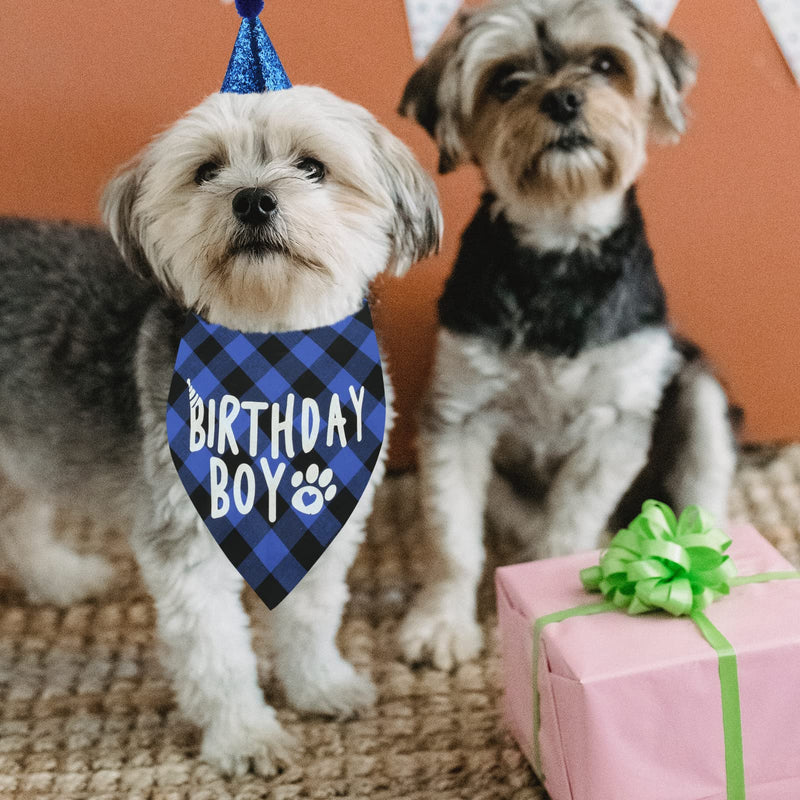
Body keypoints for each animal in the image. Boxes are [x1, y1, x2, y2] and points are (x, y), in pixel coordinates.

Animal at [0, 87, 440, 776]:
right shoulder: (188, 544)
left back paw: (58, 578)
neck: (277, 367)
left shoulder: (326, 521)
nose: (253, 198)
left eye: (311, 166)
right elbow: (218, 654)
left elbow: (312, 616)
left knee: (17, 517)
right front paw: (245, 736)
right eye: (207, 170)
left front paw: (320, 685)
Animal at [398, 0, 736, 672]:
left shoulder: (616, 420)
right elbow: (452, 541)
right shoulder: (459, 416)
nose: (562, 99)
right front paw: (443, 624)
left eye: (606, 65)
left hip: (699, 389)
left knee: (702, 488)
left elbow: (570, 525)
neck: (558, 254)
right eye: (506, 80)